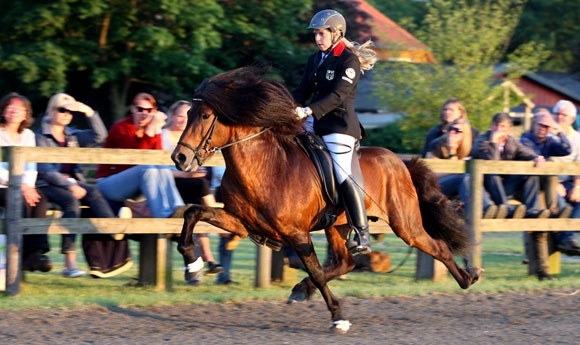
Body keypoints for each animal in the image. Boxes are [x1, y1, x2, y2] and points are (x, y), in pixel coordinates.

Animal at [170, 66, 478, 332]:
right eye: (189, 113)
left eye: (205, 116)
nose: (180, 158)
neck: (265, 166)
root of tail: (400, 162)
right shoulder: (242, 223)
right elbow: (193, 212)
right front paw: (192, 267)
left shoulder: (297, 234)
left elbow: (317, 272)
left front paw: (338, 317)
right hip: (337, 226)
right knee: (345, 263)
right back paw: (301, 289)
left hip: (405, 225)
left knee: (437, 246)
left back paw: (467, 278)